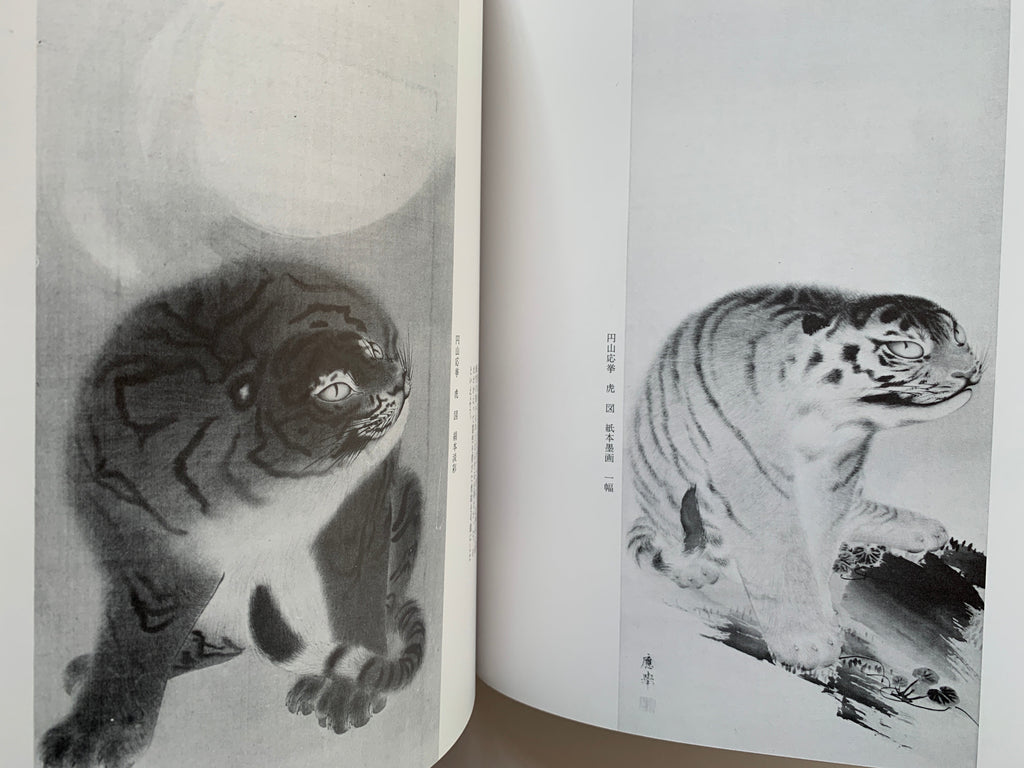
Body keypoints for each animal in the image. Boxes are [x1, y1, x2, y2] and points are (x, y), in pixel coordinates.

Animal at [40, 260, 426, 768]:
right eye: (336, 389)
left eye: (374, 351)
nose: (400, 379)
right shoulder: (145, 539)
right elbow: (133, 645)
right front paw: (97, 729)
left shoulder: (366, 503)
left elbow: (357, 594)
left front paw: (349, 692)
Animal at [627, 285, 982, 671]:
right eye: (905, 348)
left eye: (958, 336)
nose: (969, 371)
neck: (832, 431)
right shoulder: (755, 483)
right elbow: (780, 558)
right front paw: (807, 640)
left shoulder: (836, 482)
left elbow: (819, 551)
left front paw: (827, 617)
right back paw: (693, 570)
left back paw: (923, 529)